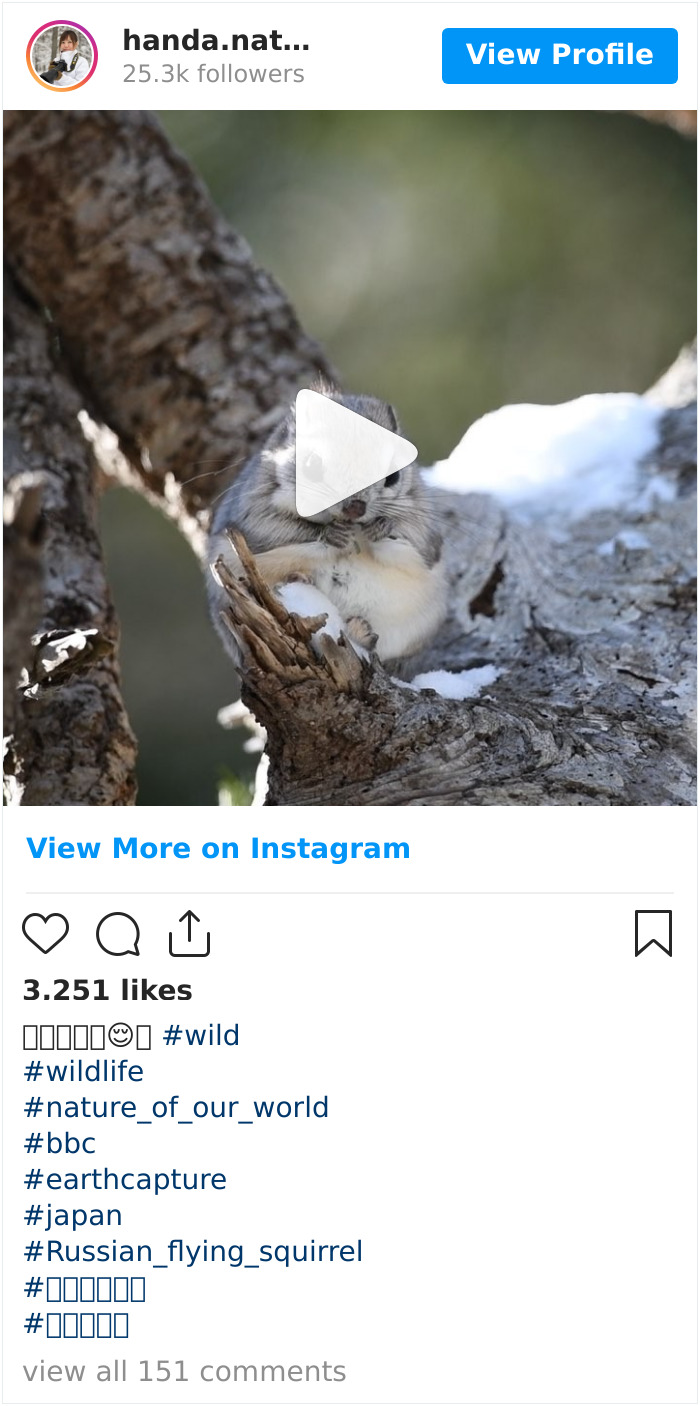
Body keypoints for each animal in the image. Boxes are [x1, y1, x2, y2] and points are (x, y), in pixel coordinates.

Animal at [207, 386, 447, 665]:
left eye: (393, 476)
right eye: (311, 464)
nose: (356, 507)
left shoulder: (423, 524)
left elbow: (419, 546)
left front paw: (380, 528)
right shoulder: (253, 511)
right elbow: (277, 530)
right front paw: (332, 534)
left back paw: (362, 633)